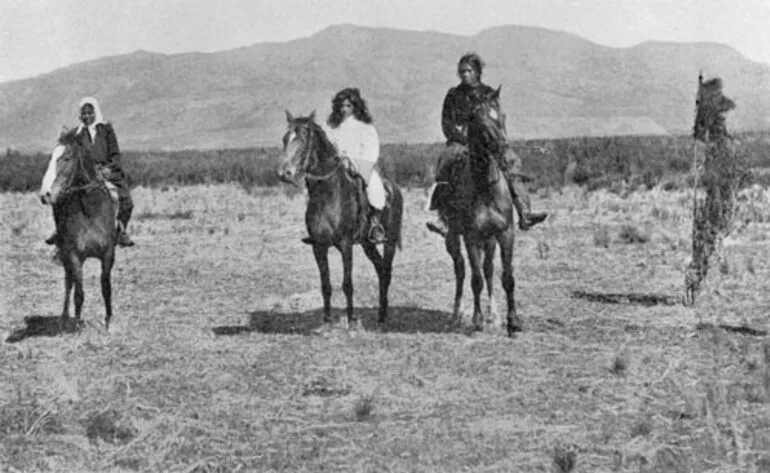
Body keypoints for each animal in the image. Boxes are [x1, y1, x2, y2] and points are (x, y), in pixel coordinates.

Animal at [39, 127, 118, 330]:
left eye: (67, 158)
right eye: (51, 157)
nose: (45, 194)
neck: (89, 210)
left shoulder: (107, 254)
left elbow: (106, 287)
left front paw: (109, 321)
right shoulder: (74, 256)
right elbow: (78, 293)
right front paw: (77, 324)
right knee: (69, 283)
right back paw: (65, 317)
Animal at [276, 110, 404, 332]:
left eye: (302, 139)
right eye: (285, 139)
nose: (285, 173)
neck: (328, 193)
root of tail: (394, 189)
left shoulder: (346, 245)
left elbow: (347, 284)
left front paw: (351, 321)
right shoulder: (318, 246)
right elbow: (325, 284)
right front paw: (327, 321)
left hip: (389, 241)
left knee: (386, 271)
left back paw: (383, 318)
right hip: (367, 244)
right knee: (380, 269)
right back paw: (380, 315)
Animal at [440, 85, 520, 336]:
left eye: (502, 116)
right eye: (479, 121)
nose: (506, 155)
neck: (485, 186)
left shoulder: (505, 234)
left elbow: (506, 277)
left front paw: (512, 321)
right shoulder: (471, 237)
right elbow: (475, 280)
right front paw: (477, 320)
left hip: (490, 240)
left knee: (488, 269)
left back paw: (493, 315)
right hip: (453, 237)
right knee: (461, 270)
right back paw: (457, 314)